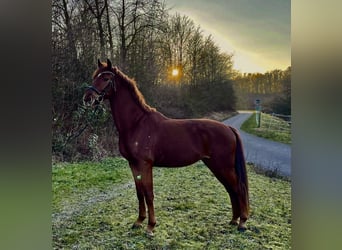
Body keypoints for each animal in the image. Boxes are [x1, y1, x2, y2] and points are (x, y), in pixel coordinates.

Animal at [83, 59, 248, 236]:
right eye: (94, 77)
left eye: (106, 78)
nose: (87, 98)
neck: (136, 124)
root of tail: (228, 128)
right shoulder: (133, 164)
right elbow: (139, 193)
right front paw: (138, 222)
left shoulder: (145, 165)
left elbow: (149, 194)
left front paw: (150, 227)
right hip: (216, 165)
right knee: (231, 189)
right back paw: (234, 220)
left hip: (223, 166)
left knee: (238, 189)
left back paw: (242, 223)